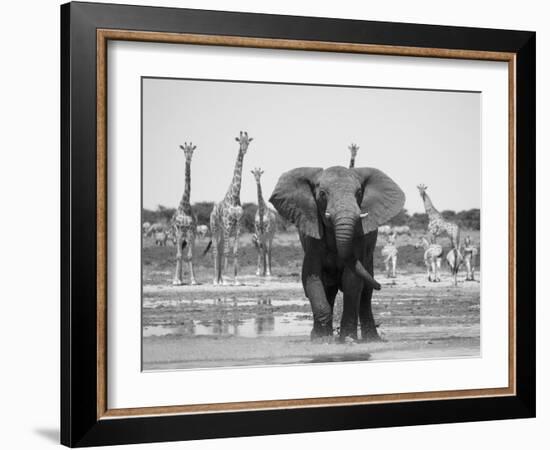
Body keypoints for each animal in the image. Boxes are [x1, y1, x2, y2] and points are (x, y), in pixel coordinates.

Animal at [211, 131, 254, 284]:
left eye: (248, 142)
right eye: (240, 142)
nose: (244, 150)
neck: (234, 197)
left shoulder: (238, 225)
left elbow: (235, 251)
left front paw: (236, 279)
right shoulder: (228, 224)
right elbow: (226, 251)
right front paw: (225, 278)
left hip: (221, 231)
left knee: (219, 249)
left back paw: (219, 279)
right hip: (214, 228)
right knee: (216, 250)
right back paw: (216, 280)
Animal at [270, 165, 406, 342]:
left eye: (359, 193)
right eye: (322, 194)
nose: (381, 286)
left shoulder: (359, 237)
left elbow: (352, 280)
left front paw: (347, 339)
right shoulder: (312, 236)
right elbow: (311, 276)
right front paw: (321, 340)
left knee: (365, 293)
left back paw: (371, 339)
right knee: (330, 289)